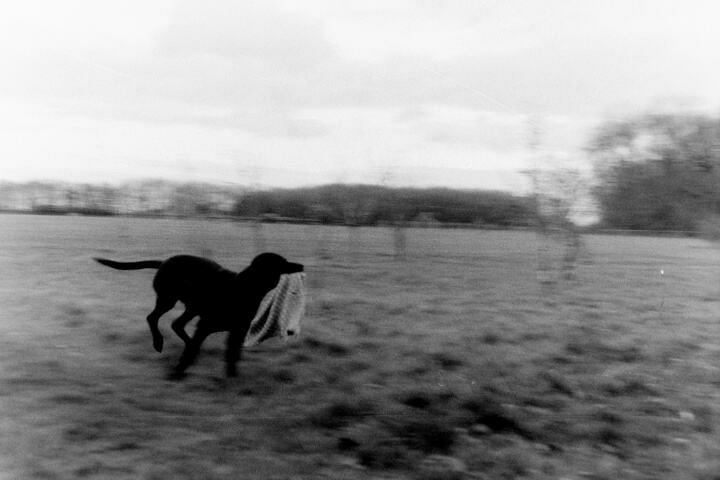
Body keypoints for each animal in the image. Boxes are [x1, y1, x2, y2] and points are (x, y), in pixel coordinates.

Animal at [94, 251, 302, 378]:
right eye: (282, 263)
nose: (301, 265)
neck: (243, 288)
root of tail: (164, 262)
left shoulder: (237, 332)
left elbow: (232, 356)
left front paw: (232, 379)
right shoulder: (205, 325)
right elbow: (191, 352)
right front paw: (177, 373)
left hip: (191, 307)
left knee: (177, 325)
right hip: (169, 299)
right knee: (153, 318)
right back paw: (158, 342)